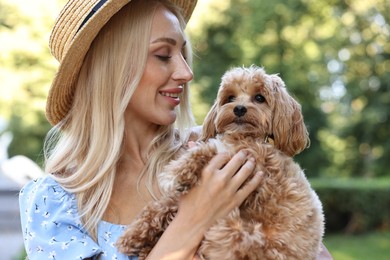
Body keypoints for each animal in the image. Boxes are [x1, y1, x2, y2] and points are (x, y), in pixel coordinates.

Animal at [117, 66, 324, 258]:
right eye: (230, 98)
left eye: (259, 98)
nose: (239, 108)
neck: (243, 137)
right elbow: (163, 204)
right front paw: (133, 234)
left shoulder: (255, 167)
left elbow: (205, 150)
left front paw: (174, 173)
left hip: (237, 238)